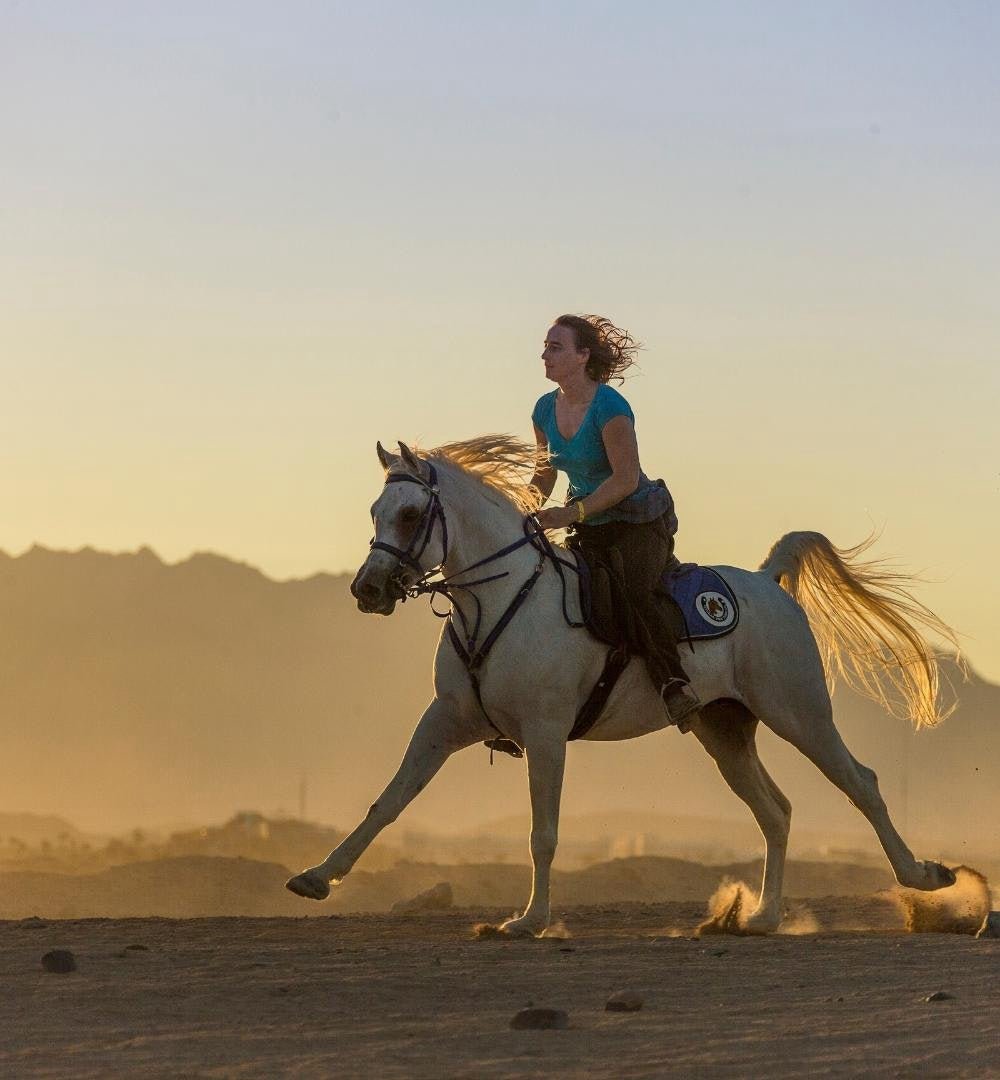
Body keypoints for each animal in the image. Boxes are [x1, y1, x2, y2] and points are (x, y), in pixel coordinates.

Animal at [286, 435, 961, 935]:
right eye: (375, 512)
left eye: (408, 513)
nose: (368, 589)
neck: (498, 600)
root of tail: (767, 583)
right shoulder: (445, 722)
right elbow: (388, 801)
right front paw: (317, 877)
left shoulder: (546, 734)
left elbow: (543, 832)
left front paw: (529, 922)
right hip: (724, 730)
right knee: (777, 811)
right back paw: (764, 918)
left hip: (800, 714)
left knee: (861, 784)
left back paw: (925, 878)